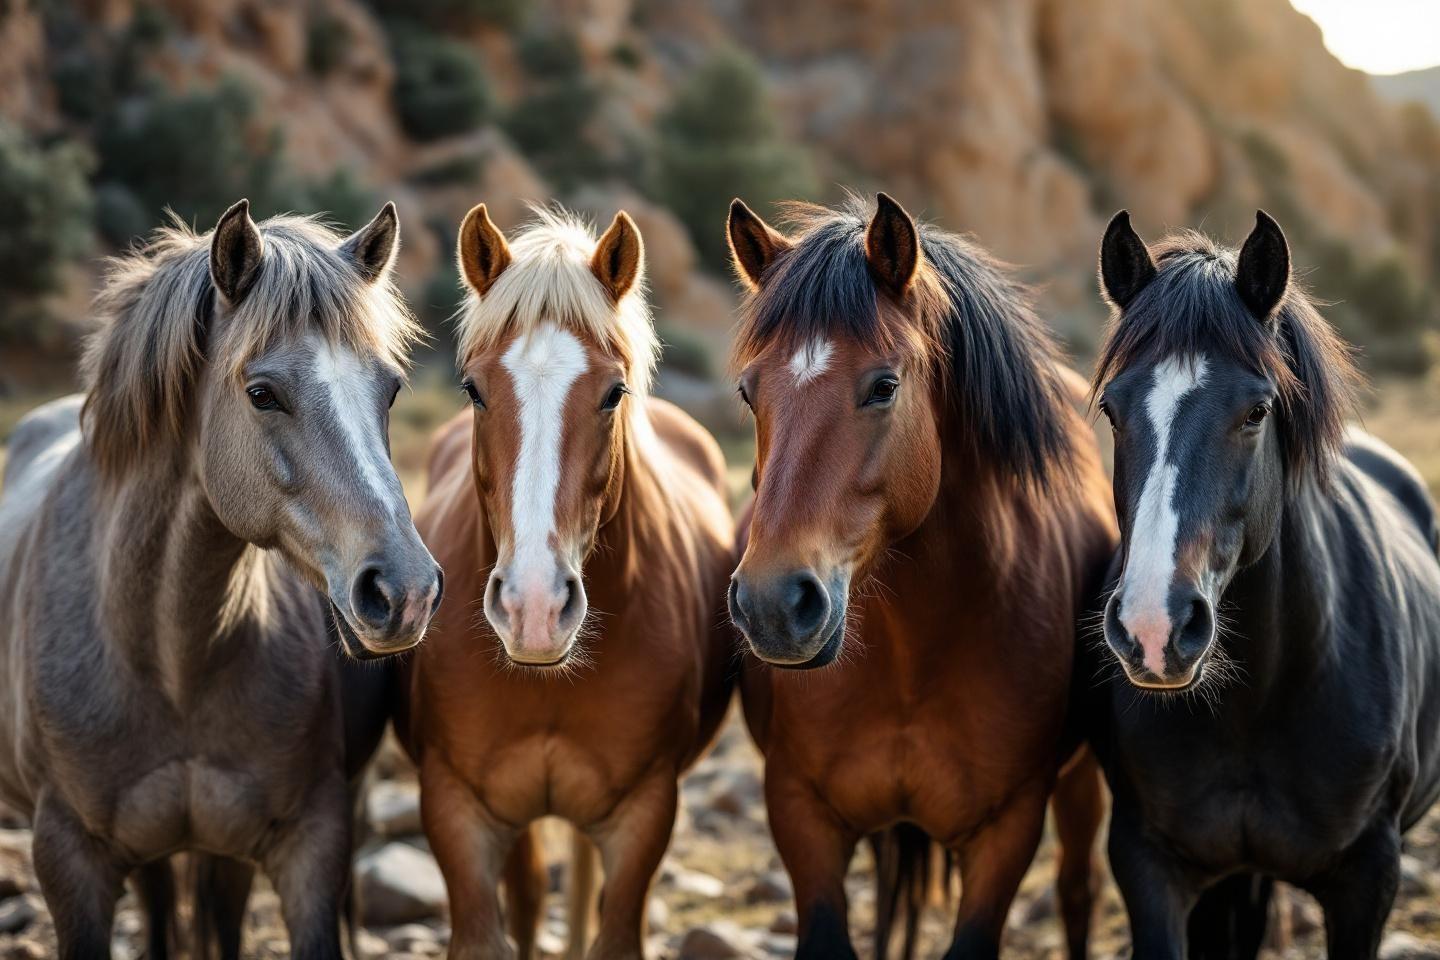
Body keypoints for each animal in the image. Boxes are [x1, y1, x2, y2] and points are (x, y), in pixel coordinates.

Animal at [0, 199, 441, 959]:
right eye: (262, 394)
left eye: (390, 390)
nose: (405, 593)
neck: (167, 659)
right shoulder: (69, 859)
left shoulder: (310, 844)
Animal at [724, 193, 1118, 960]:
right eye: (748, 393)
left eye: (883, 386)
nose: (773, 605)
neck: (915, 655)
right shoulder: (801, 815)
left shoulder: (1006, 833)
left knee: (1077, 891)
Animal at [1089, 209, 1440, 959]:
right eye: (1111, 410)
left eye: (1255, 412)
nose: (1153, 629)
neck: (1258, 703)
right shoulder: (1147, 864)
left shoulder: (1368, 879)